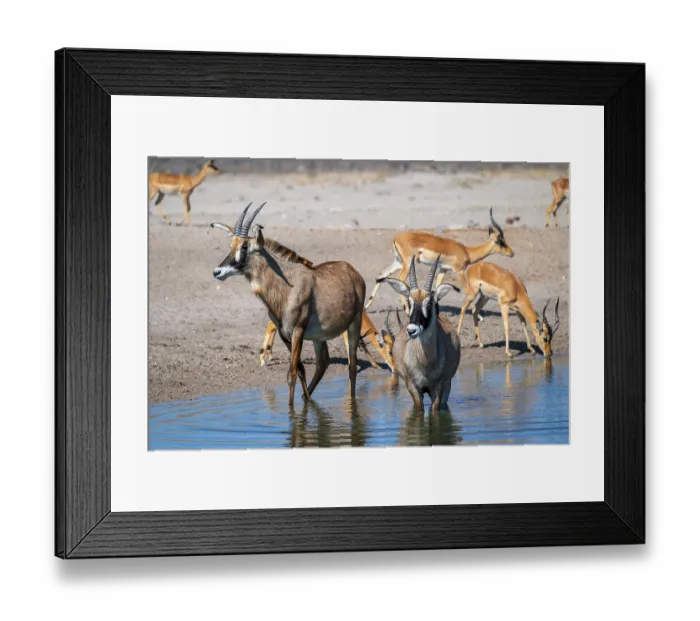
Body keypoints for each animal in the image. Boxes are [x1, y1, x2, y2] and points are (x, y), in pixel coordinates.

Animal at [211, 203, 366, 406]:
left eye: (245, 246)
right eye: (232, 245)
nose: (217, 272)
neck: (286, 285)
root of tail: (353, 272)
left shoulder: (297, 331)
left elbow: (291, 373)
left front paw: (292, 412)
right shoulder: (284, 334)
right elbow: (299, 371)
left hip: (354, 323)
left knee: (352, 366)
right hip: (319, 337)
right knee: (323, 362)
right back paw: (307, 398)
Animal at [365, 208, 514, 336]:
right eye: (501, 242)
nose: (512, 253)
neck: (466, 251)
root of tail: (396, 238)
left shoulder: (443, 269)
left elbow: (437, 287)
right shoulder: (459, 271)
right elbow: (467, 290)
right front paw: (480, 316)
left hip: (398, 262)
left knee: (382, 274)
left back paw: (367, 306)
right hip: (407, 264)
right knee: (400, 280)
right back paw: (406, 309)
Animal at [381, 255, 461, 414]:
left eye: (429, 303)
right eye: (409, 302)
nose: (411, 330)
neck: (425, 361)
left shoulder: (438, 387)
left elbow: (434, 412)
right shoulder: (413, 387)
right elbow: (419, 410)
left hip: (447, 384)